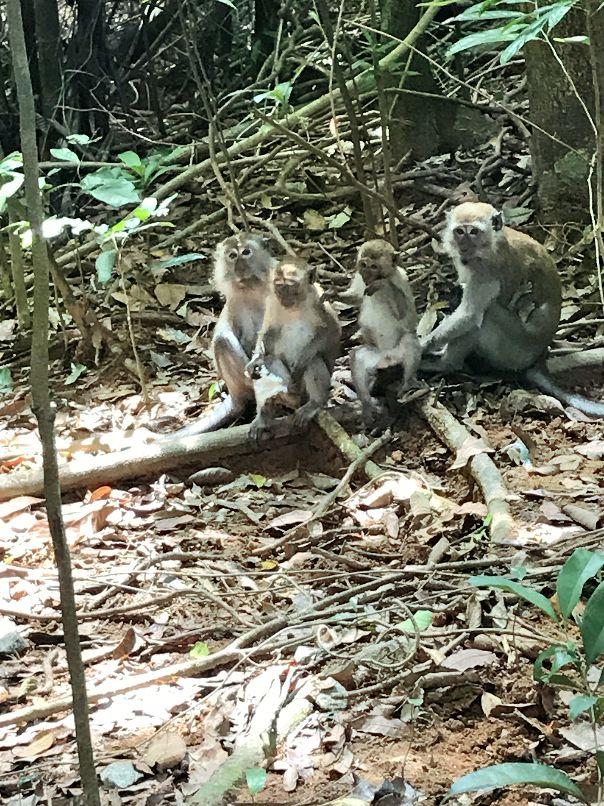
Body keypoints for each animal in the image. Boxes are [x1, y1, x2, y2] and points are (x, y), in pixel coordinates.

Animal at [162, 234, 272, 438]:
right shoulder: (234, 304)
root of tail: (235, 394)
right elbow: (224, 332)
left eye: (246, 252)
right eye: (232, 255)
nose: (239, 268)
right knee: (222, 342)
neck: (250, 287)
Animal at [245, 258, 340, 438]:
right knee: (269, 360)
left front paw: (303, 360)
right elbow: (267, 332)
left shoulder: (319, 301)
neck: (295, 307)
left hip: (304, 393)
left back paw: (314, 402)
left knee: (313, 361)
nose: (283, 296)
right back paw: (265, 414)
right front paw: (254, 360)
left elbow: (331, 331)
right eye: (278, 285)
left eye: (289, 285)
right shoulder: (272, 302)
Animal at [350, 240, 420, 430]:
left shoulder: (401, 279)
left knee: (409, 340)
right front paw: (333, 294)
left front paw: (382, 285)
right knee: (357, 356)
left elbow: (406, 315)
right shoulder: (358, 279)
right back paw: (366, 402)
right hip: (374, 356)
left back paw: (407, 383)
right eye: (364, 265)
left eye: (374, 267)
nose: (367, 275)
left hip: (398, 351)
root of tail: (388, 357)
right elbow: (355, 297)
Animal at [420, 204, 604, 416]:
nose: (464, 246)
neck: (494, 242)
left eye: (473, 232)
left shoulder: (485, 271)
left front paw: (420, 347)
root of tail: (538, 358)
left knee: (484, 316)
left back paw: (447, 364)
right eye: (459, 231)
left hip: (513, 352)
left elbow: (469, 315)